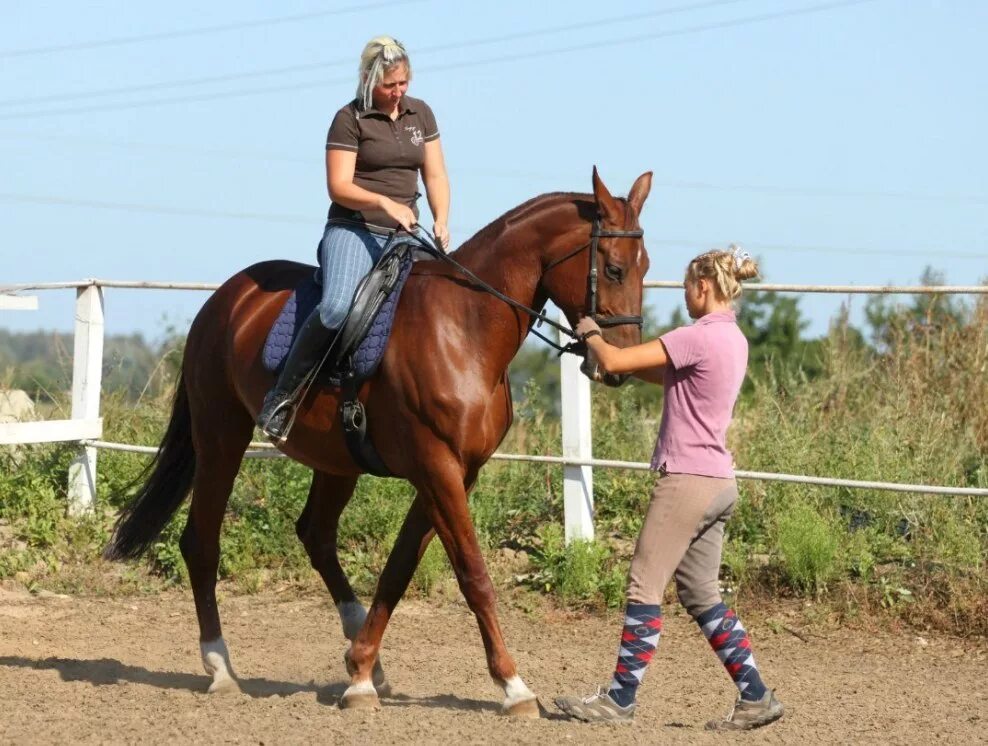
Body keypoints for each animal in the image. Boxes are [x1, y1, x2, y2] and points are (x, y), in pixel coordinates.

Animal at [104, 167, 652, 716]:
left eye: (645, 267)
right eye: (615, 269)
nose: (619, 366)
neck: (465, 327)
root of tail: (225, 297)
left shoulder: (456, 472)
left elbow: (399, 568)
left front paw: (362, 670)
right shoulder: (436, 467)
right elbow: (472, 574)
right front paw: (512, 685)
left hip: (335, 460)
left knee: (316, 534)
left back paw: (357, 646)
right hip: (221, 438)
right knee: (202, 543)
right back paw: (219, 667)